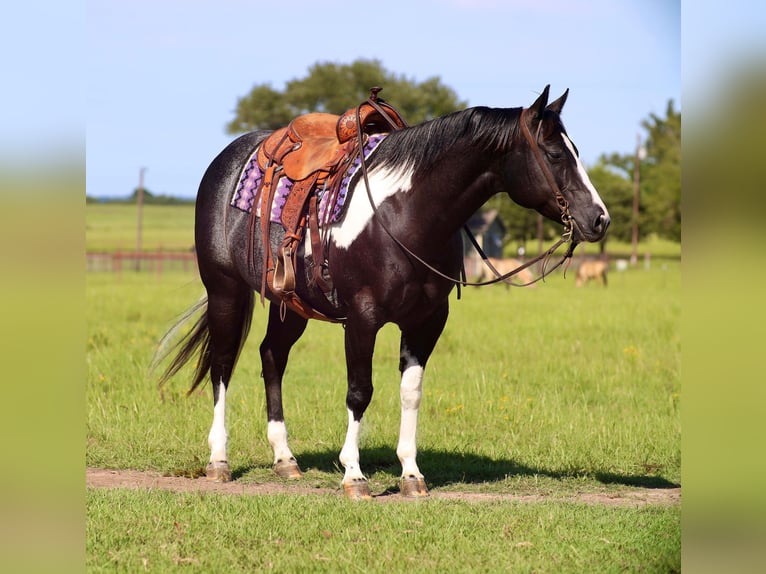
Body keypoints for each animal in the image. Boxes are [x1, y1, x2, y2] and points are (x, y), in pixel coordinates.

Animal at [154, 84, 612, 500]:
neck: (406, 213)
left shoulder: (427, 321)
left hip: (293, 305)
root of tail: (225, 160)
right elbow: (360, 391)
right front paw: (353, 476)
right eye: (555, 155)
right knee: (222, 365)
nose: (599, 219)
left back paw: (285, 459)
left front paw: (411, 474)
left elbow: (411, 393)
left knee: (272, 356)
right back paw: (218, 460)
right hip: (225, 290)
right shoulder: (362, 318)